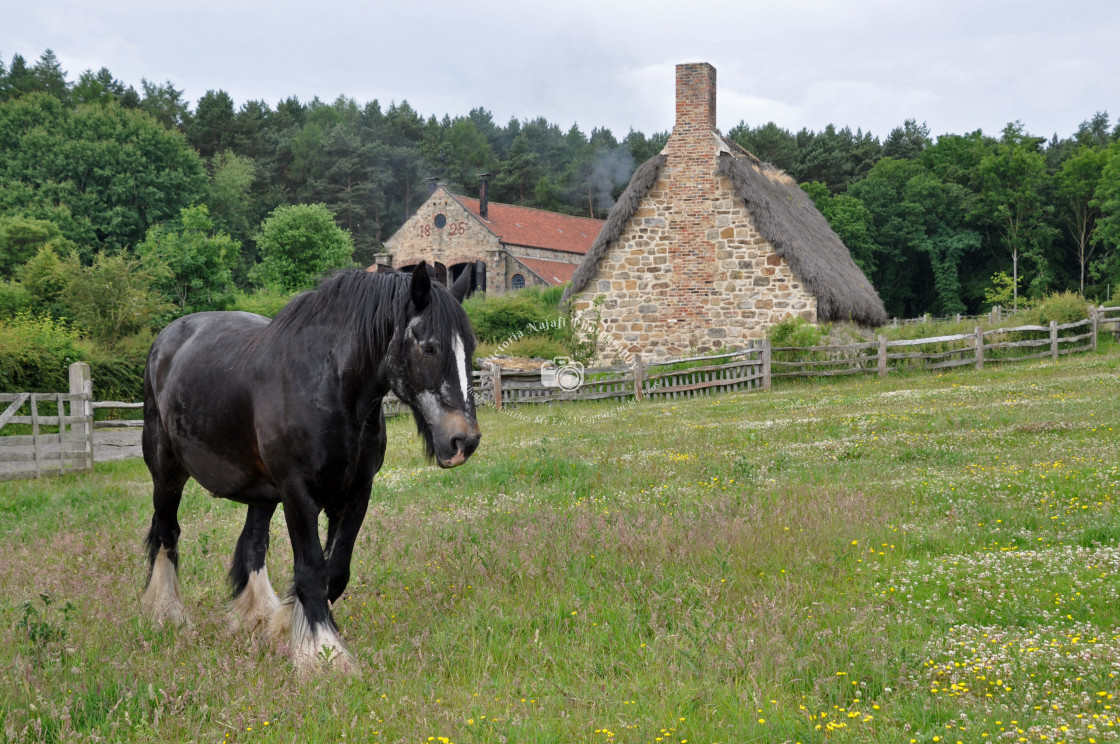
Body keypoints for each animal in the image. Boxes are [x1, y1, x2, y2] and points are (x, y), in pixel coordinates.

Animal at [138, 264, 477, 672]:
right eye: (428, 347)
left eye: (470, 348)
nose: (463, 441)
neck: (328, 386)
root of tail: (166, 338)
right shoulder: (298, 494)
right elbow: (313, 570)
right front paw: (324, 655)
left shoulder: (356, 491)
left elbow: (336, 572)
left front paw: (287, 625)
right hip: (166, 473)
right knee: (166, 532)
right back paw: (166, 613)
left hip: (260, 493)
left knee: (253, 544)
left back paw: (255, 617)